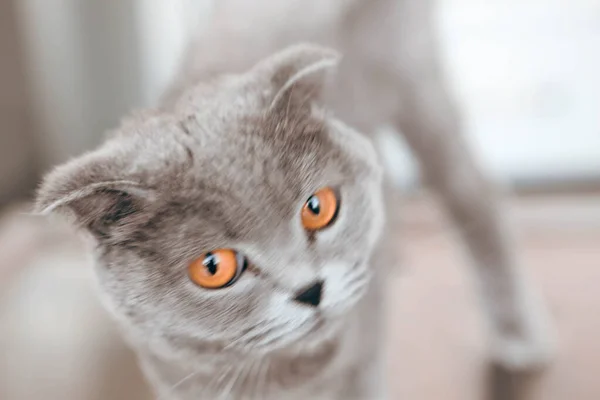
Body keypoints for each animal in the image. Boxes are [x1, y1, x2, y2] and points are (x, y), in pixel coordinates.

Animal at [36, 0, 552, 400]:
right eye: (213, 267)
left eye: (318, 208)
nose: (311, 290)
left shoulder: (361, 364)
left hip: (417, 83)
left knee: (477, 198)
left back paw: (521, 338)